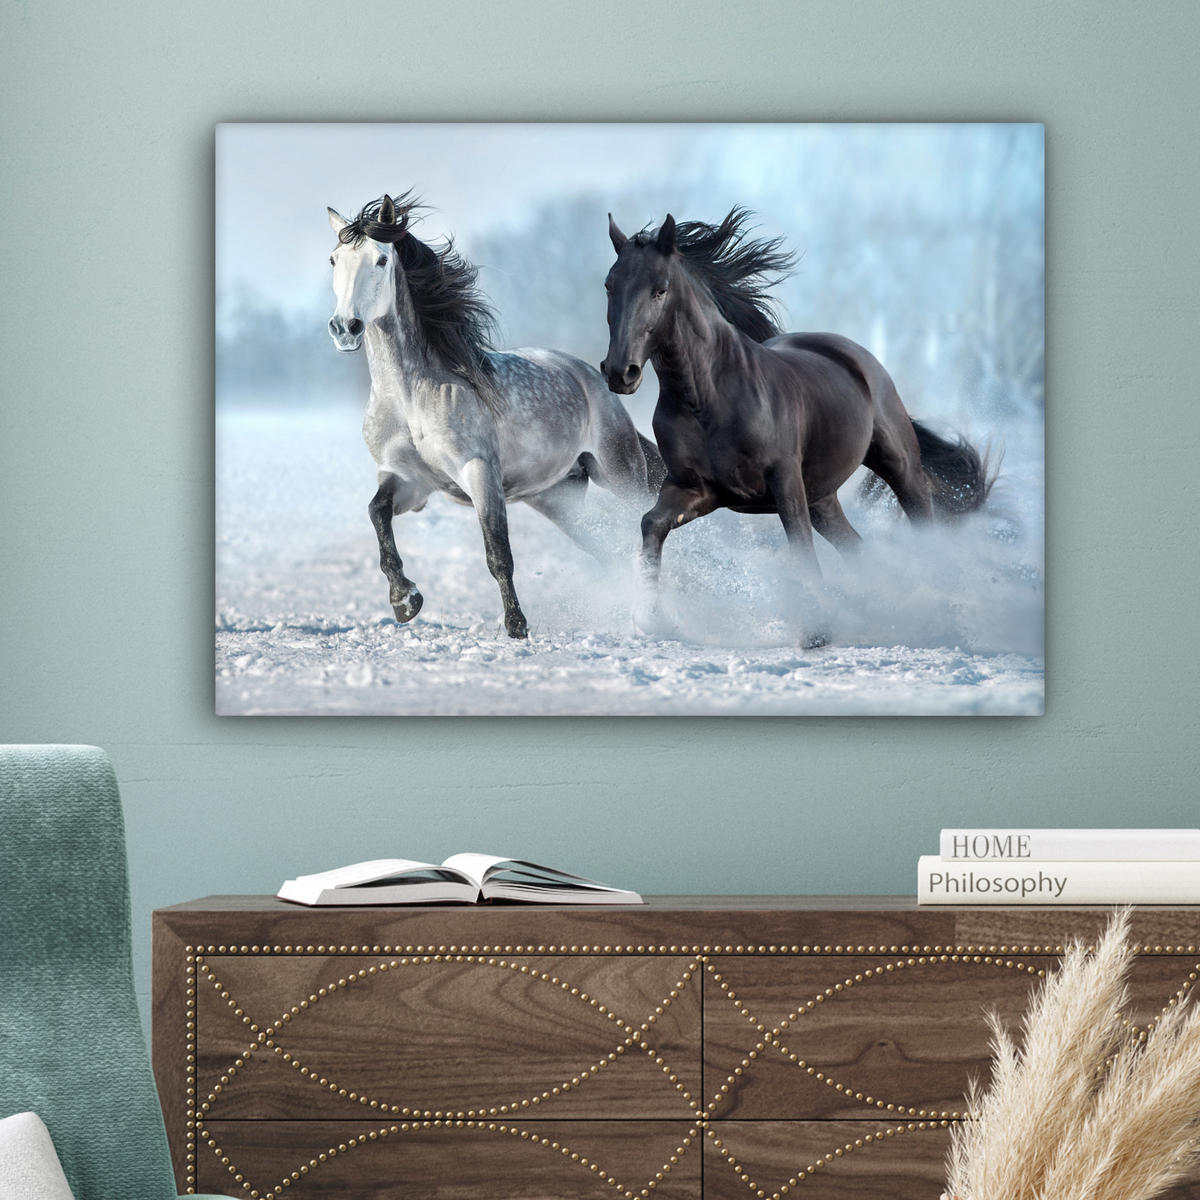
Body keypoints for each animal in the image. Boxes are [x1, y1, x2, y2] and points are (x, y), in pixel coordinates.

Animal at [327, 193, 663, 639]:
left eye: (380, 260)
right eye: (334, 259)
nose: (345, 328)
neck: (410, 397)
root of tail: (590, 376)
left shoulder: (480, 472)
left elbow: (498, 552)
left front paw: (516, 626)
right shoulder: (408, 480)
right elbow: (376, 514)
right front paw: (405, 600)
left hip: (620, 473)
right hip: (557, 498)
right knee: (607, 548)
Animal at [600, 207, 992, 636]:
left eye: (660, 289)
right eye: (609, 286)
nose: (620, 372)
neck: (709, 399)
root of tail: (854, 354)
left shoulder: (784, 482)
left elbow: (800, 548)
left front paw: (817, 632)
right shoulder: (697, 489)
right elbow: (651, 524)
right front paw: (649, 619)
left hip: (898, 465)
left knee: (923, 521)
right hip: (822, 496)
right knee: (856, 547)